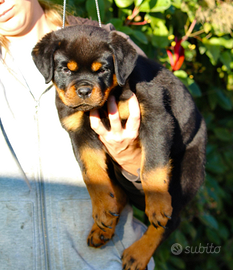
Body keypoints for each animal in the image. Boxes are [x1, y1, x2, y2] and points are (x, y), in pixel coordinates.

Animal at [31, 25, 207, 270]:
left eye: (103, 69)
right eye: (65, 69)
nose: (84, 90)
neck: (104, 104)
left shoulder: (156, 116)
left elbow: (152, 167)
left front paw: (157, 205)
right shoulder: (79, 132)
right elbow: (91, 174)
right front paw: (103, 208)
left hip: (189, 171)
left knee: (171, 220)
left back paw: (138, 253)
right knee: (120, 195)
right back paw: (102, 228)